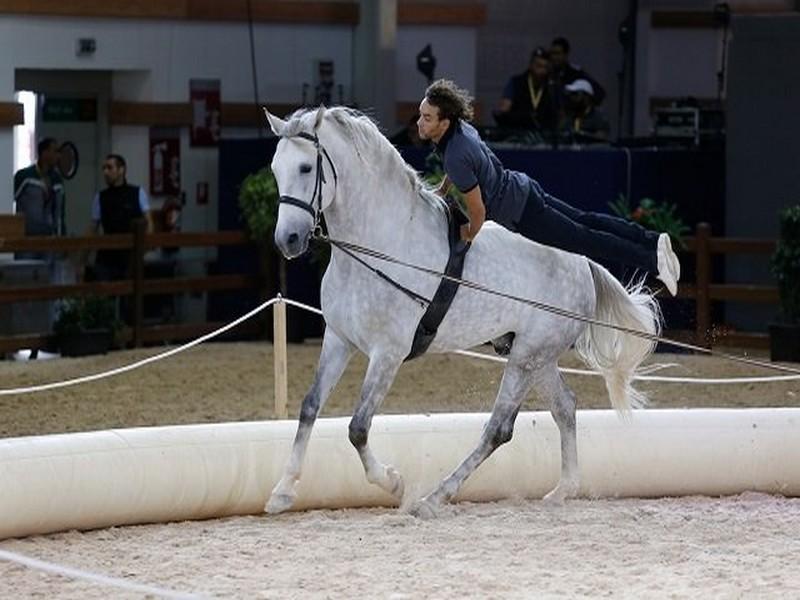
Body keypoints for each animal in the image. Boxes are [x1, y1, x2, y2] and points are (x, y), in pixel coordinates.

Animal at [266, 106, 660, 516]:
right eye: (276, 169)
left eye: (306, 168)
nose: (287, 240)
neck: (379, 246)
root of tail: (583, 263)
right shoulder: (338, 339)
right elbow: (310, 407)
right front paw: (282, 491)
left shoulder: (388, 352)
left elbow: (358, 427)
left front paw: (394, 482)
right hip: (535, 355)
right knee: (565, 407)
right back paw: (562, 490)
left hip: (527, 357)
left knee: (499, 429)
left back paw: (434, 497)